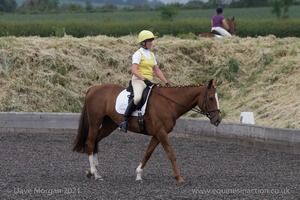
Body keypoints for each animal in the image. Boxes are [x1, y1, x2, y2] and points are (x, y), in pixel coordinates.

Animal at [72, 79, 221, 184]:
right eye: (211, 98)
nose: (218, 120)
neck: (169, 103)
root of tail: (94, 88)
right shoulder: (161, 133)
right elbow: (171, 154)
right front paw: (179, 178)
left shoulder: (157, 134)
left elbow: (148, 153)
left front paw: (138, 175)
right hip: (95, 121)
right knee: (90, 143)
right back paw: (95, 173)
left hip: (110, 124)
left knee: (96, 140)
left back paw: (93, 172)